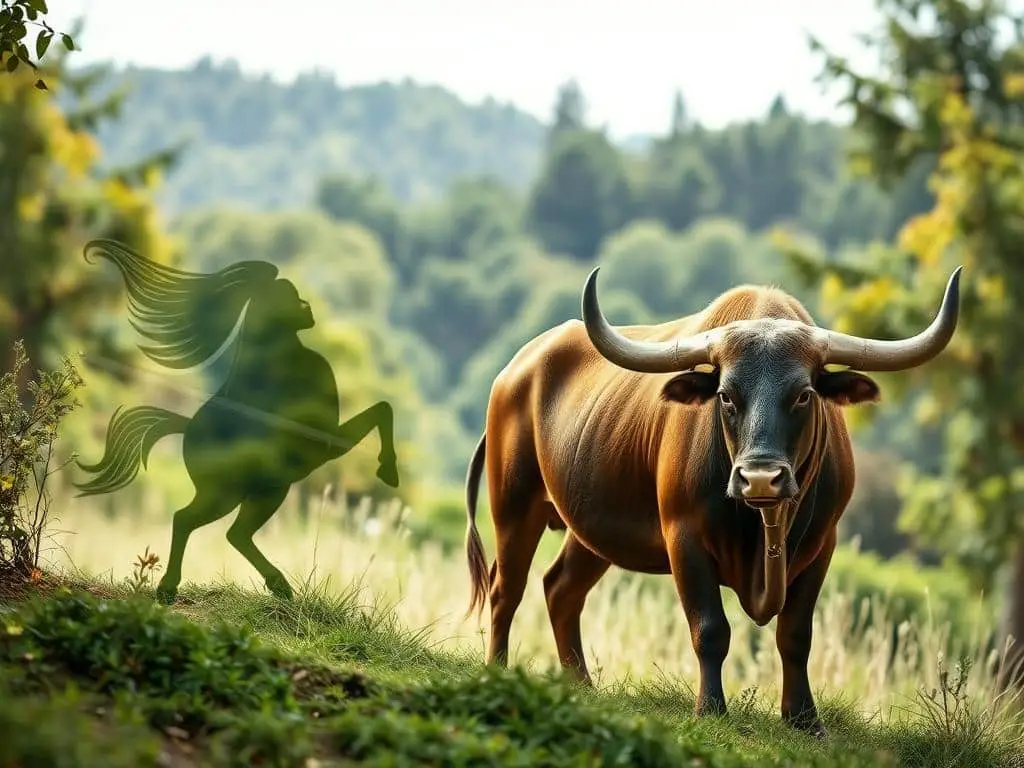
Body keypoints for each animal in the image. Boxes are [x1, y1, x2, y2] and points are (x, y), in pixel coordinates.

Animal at [464, 266, 958, 741]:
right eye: (725, 394)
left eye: (804, 394)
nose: (760, 477)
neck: (762, 527)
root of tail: (515, 371)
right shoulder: (684, 539)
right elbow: (711, 629)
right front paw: (711, 709)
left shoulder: (823, 544)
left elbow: (796, 634)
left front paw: (803, 718)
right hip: (513, 505)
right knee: (507, 588)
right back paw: (497, 669)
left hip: (590, 531)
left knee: (561, 589)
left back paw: (581, 684)